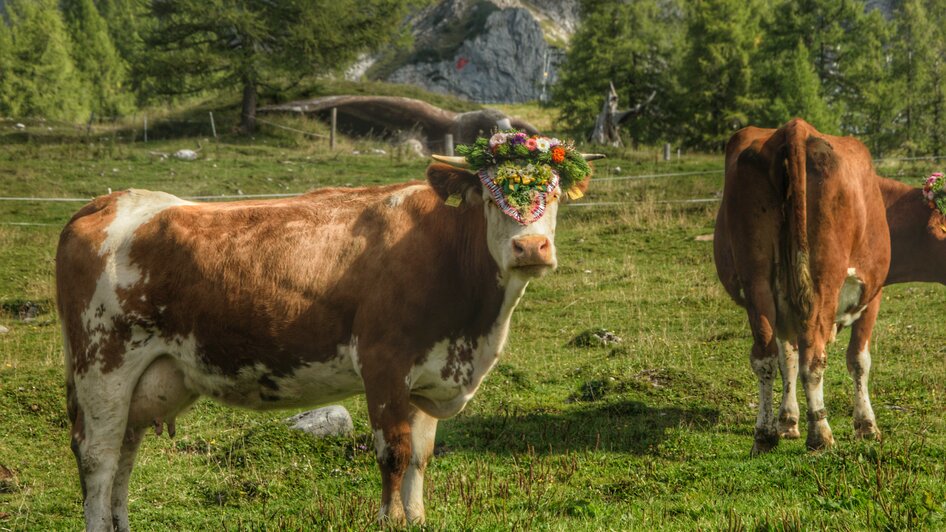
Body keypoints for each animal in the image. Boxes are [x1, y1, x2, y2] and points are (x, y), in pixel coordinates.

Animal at [59, 128, 600, 528]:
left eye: (554, 196)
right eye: (490, 199)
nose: (530, 248)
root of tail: (107, 202)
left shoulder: (428, 375)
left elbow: (421, 457)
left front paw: (416, 518)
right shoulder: (384, 363)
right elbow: (394, 454)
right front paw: (389, 520)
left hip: (143, 380)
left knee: (124, 453)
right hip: (102, 365)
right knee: (99, 456)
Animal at [712, 118, 940, 456]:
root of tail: (795, 129)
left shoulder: (785, 306)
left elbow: (787, 360)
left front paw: (787, 422)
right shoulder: (872, 294)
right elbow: (858, 360)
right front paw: (866, 426)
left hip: (758, 281)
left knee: (765, 357)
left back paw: (765, 435)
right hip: (822, 283)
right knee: (814, 357)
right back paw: (820, 434)